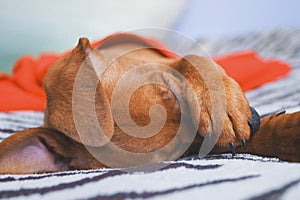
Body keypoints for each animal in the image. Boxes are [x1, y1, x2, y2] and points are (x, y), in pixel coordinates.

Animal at [0, 34, 300, 173]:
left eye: (176, 93)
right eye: (183, 151)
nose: (255, 121)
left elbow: (190, 58)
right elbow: (242, 140)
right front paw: (285, 134)